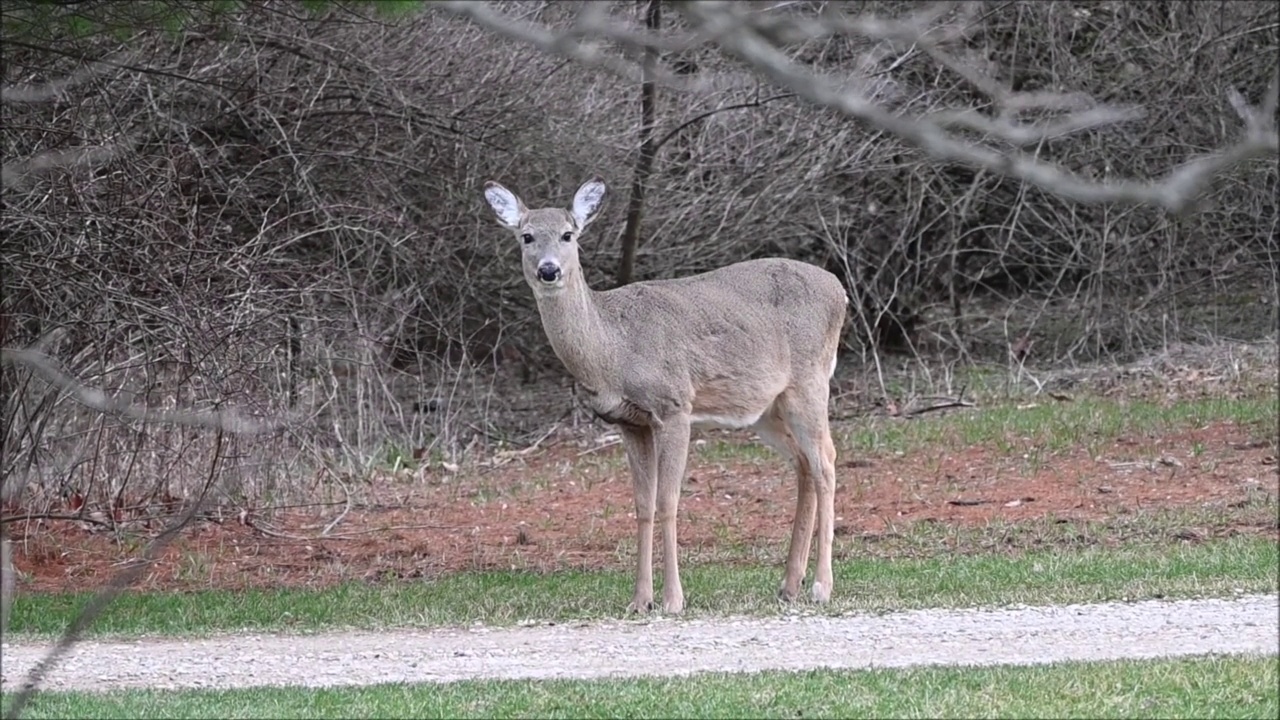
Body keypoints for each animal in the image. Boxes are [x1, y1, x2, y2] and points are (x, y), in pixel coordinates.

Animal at [483, 176, 844, 607]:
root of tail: (840, 290)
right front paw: (640, 599)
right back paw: (789, 584)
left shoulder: (674, 406)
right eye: (526, 236)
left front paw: (672, 599)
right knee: (804, 464)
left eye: (568, 234)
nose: (549, 270)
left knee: (826, 461)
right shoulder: (628, 421)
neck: (614, 349)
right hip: (766, 408)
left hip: (810, 381)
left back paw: (822, 586)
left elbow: (668, 501)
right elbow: (642, 505)